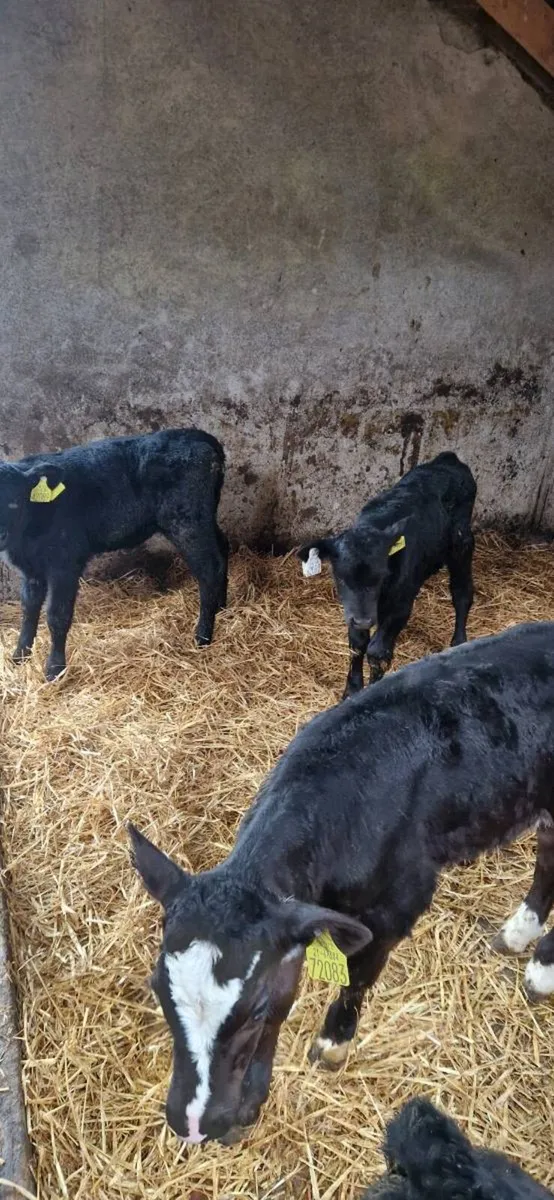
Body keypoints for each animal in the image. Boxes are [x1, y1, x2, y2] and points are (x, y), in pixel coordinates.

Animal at [0, 428, 228, 680]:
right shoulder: (30, 569)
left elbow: (57, 615)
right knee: (223, 548)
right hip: (204, 519)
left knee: (210, 569)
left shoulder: (65, 563)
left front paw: (54, 669)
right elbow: (28, 610)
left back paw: (203, 636)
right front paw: (19, 656)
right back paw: (221, 607)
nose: (0, 534)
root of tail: (199, 435)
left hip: (187, 521)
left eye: (15, 501)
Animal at [129, 622, 554, 1147]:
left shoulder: (396, 905)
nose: (192, 1123)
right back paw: (520, 933)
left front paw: (332, 1042)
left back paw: (542, 969)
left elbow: (357, 978)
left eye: (256, 1008)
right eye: (158, 989)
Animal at [298, 451, 476, 698]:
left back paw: (459, 641)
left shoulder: (401, 605)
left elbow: (377, 652)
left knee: (462, 592)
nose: (364, 620)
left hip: (462, 544)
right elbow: (357, 643)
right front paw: (352, 690)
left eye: (381, 576)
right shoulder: (353, 610)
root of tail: (448, 459)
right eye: (340, 577)